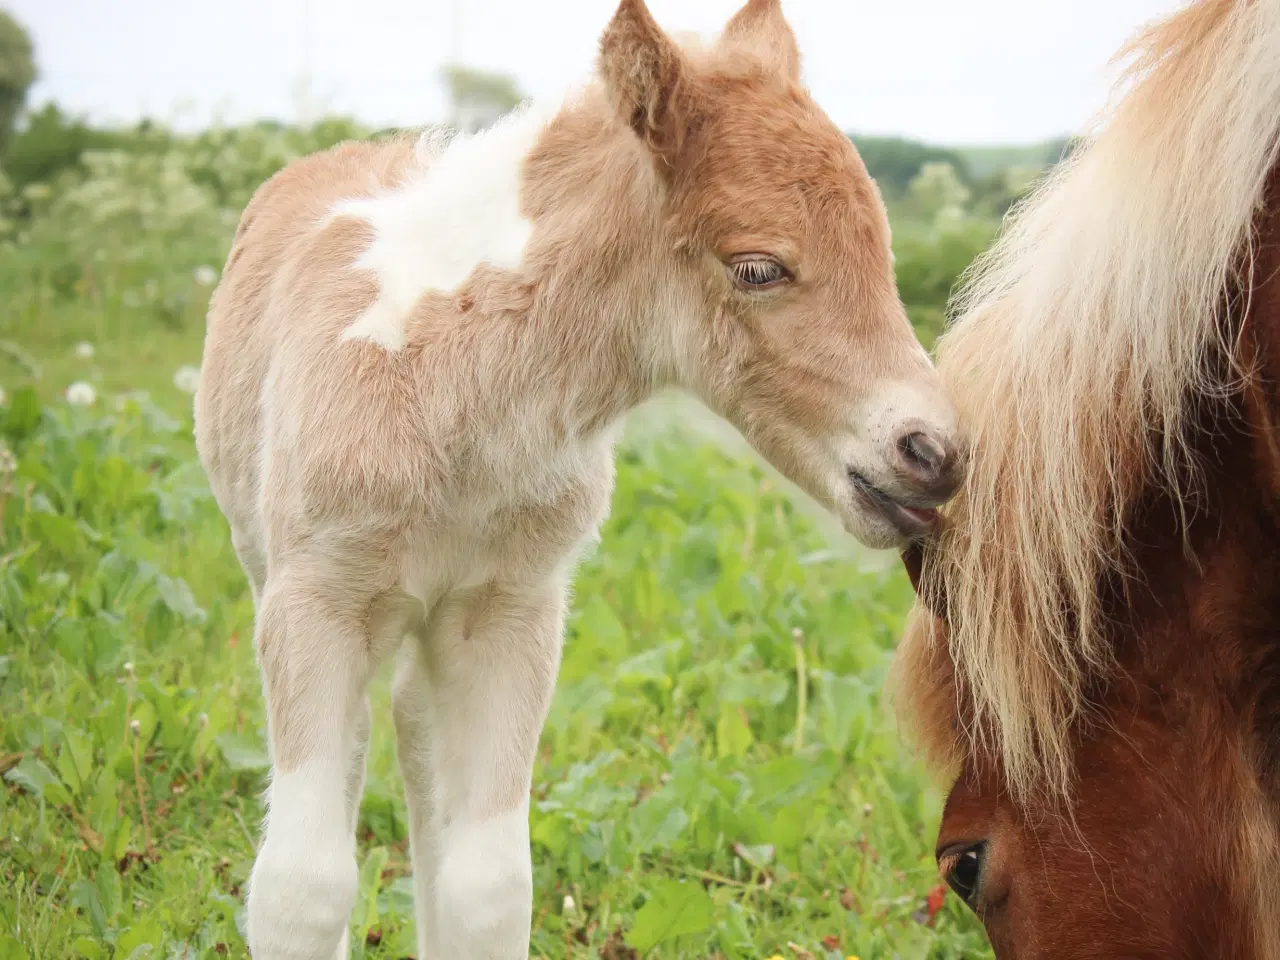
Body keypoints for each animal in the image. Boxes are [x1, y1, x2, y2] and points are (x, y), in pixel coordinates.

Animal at [194, 1, 962, 960]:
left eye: (882, 249)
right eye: (757, 268)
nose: (935, 453)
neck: (446, 385)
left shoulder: (510, 613)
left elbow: (490, 885)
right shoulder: (312, 602)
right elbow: (301, 885)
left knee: (415, 732)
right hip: (272, 569)